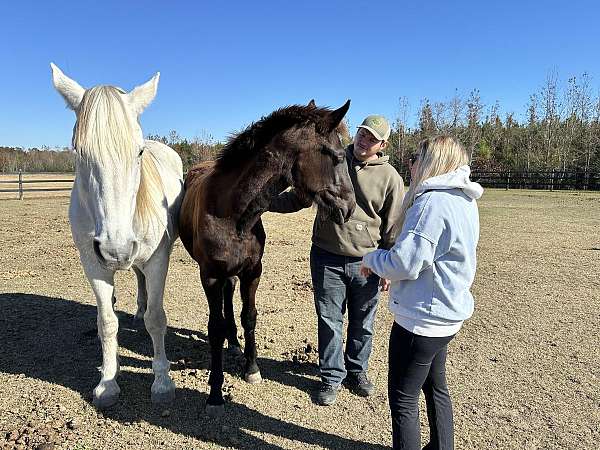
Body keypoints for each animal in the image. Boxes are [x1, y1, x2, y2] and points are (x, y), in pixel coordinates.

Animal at [50, 64, 184, 412]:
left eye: (138, 152)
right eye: (78, 152)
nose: (116, 249)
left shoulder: (158, 260)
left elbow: (157, 319)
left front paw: (162, 383)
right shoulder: (94, 265)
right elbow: (107, 323)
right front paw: (108, 383)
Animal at [178, 101, 356, 414]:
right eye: (336, 157)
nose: (349, 207)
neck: (232, 213)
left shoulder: (253, 271)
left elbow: (249, 317)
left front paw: (251, 368)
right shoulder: (209, 276)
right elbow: (214, 328)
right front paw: (215, 392)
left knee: (230, 295)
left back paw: (234, 342)